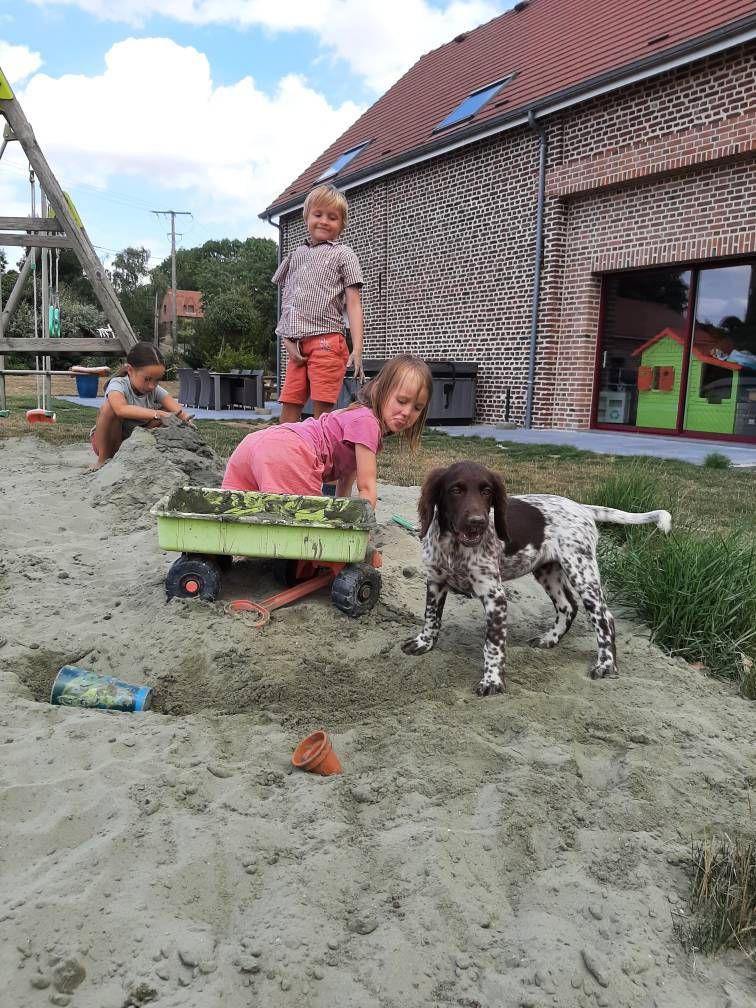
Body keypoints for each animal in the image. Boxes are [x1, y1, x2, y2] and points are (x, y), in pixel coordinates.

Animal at [403, 461, 673, 693]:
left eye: (487, 491)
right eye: (455, 490)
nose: (477, 523)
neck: (454, 548)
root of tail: (581, 507)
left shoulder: (494, 596)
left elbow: (493, 644)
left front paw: (492, 681)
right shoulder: (435, 581)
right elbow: (431, 618)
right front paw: (424, 643)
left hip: (582, 571)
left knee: (604, 617)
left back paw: (606, 664)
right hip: (547, 570)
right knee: (568, 606)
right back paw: (549, 639)